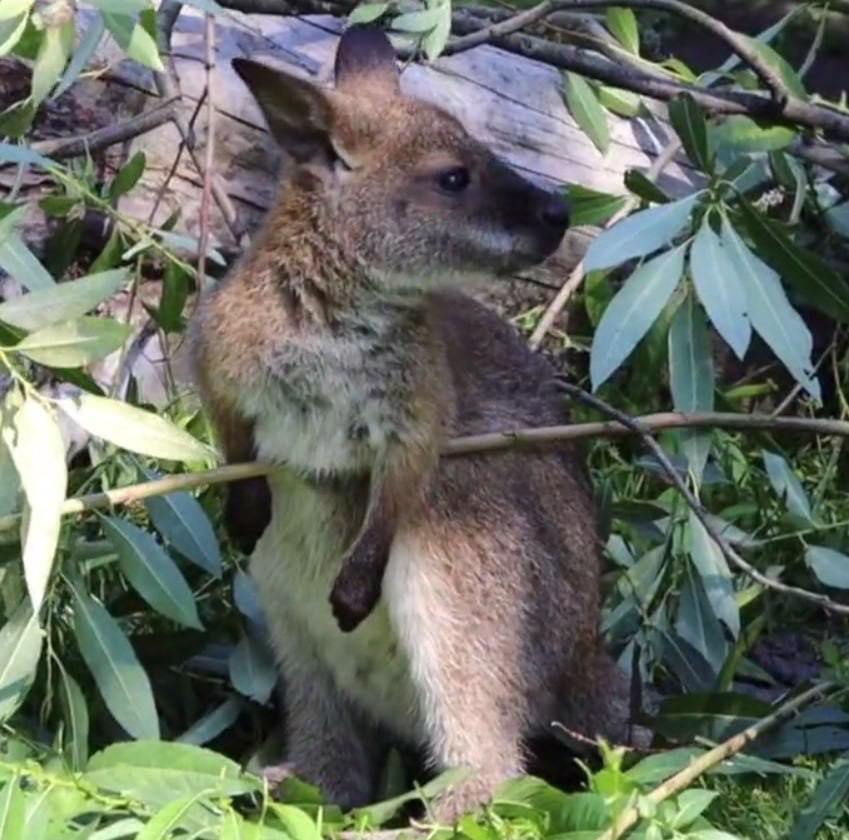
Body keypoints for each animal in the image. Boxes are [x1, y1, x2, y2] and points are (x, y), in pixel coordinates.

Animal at [191, 25, 639, 822]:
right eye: (453, 178)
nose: (559, 214)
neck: (339, 310)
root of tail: (584, 670)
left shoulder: (420, 419)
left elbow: (402, 479)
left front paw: (353, 588)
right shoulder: (219, 356)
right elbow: (232, 438)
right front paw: (239, 512)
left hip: (469, 554)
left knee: (492, 769)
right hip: (288, 616)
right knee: (338, 760)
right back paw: (276, 790)